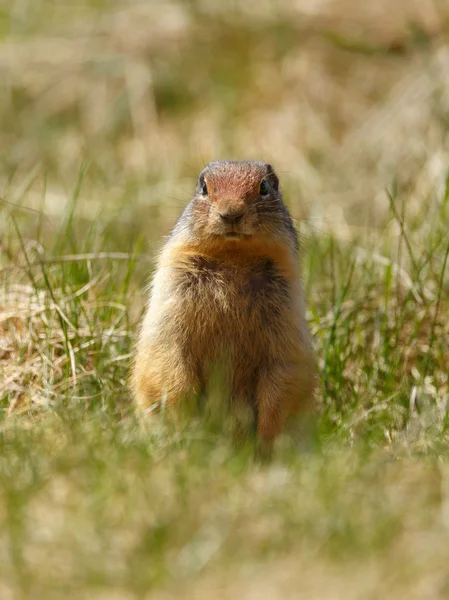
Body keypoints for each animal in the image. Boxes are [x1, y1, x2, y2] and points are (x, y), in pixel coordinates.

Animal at [131, 162, 316, 452]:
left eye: (264, 187)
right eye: (204, 187)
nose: (231, 212)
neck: (233, 258)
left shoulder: (288, 317)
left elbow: (284, 375)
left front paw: (266, 440)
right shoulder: (171, 293)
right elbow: (168, 361)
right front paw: (183, 423)